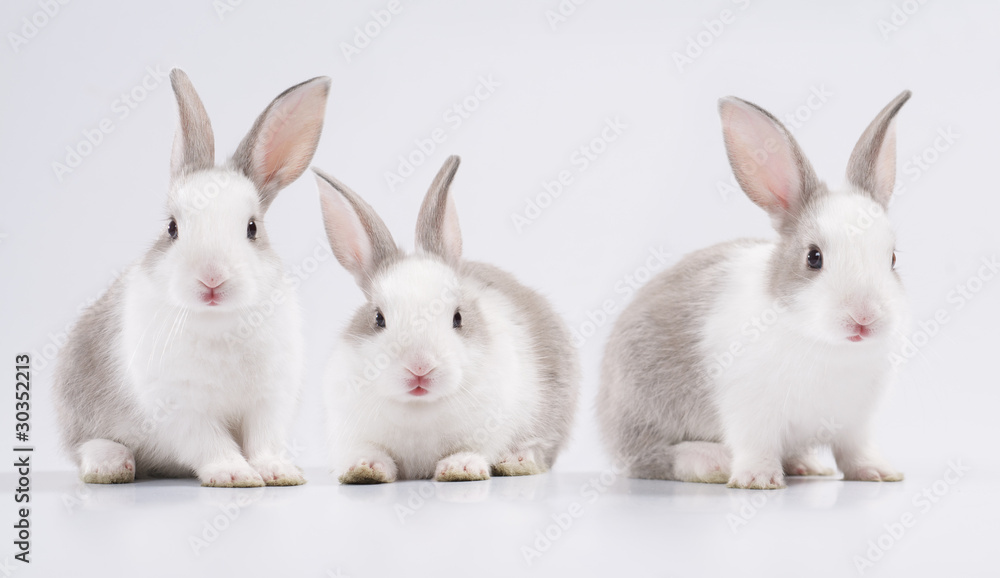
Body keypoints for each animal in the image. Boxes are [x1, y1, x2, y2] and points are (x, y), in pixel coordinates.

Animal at [52, 69, 330, 487]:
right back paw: (110, 463)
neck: (220, 322)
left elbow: (263, 441)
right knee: (86, 445)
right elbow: (210, 443)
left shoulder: (269, 402)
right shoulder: (182, 407)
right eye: (172, 228)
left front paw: (277, 471)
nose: (211, 279)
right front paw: (233, 474)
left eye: (252, 228)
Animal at [313, 156, 580, 483]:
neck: (419, 408)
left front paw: (460, 467)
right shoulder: (349, 431)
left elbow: (475, 448)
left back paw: (517, 460)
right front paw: (365, 468)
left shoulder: (491, 424)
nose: (420, 368)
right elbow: (367, 452)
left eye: (458, 317)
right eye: (378, 318)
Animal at [597, 91, 912, 489]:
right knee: (650, 459)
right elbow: (755, 445)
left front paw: (878, 472)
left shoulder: (855, 423)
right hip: (643, 408)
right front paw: (758, 479)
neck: (827, 346)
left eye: (892, 258)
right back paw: (711, 462)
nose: (864, 318)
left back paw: (807, 465)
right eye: (813, 258)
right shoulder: (750, 411)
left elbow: (856, 452)